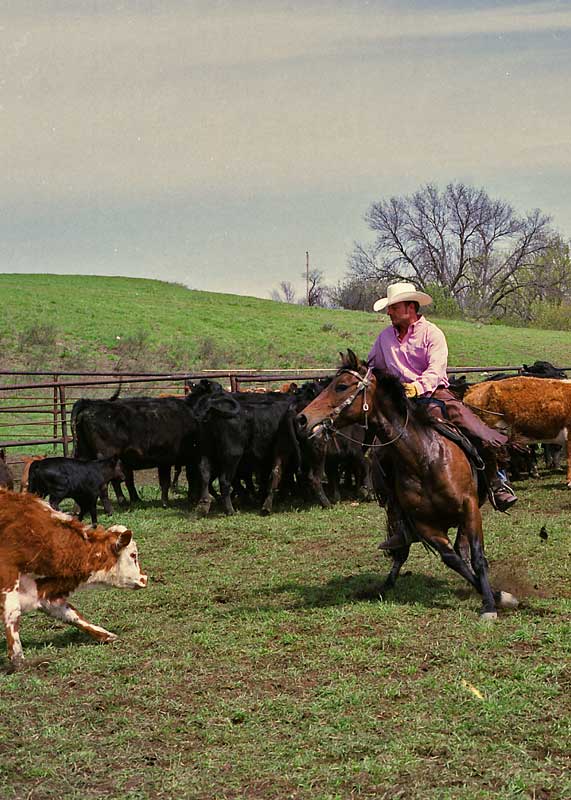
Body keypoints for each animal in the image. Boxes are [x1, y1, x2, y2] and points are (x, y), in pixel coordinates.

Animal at [0, 490, 147, 672]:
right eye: (133, 555)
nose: (144, 579)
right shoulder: (8, 575)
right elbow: (13, 613)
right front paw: (18, 660)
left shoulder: (40, 590)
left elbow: (71, 614)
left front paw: (107, 635)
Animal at [298, 350, 520, 620]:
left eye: (341, 386)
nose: (302, 418)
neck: (425, 458)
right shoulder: (424, 525)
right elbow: (452, 559)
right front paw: (495, 596)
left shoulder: (469, 506)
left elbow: (478, 557)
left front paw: (492, 603)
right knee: (412, 551)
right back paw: (386, 583)